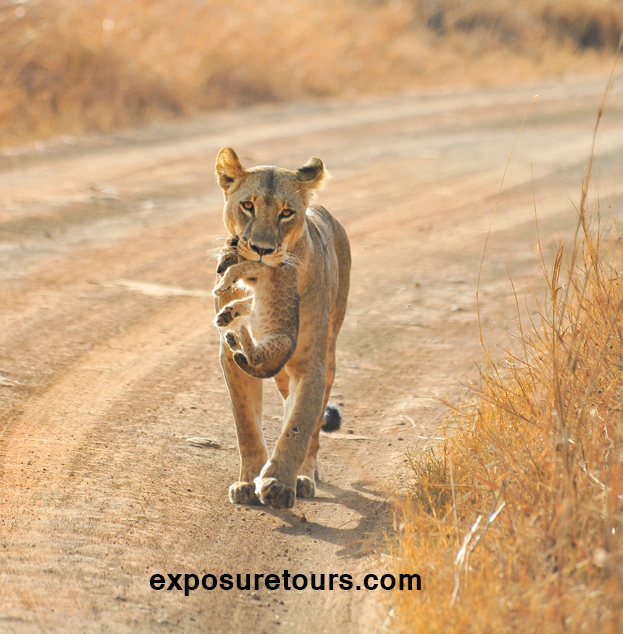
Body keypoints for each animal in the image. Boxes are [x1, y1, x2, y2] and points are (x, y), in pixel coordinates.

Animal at [213, 147, 351, 510]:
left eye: (286, 213)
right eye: (248, 205)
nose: (261, 250)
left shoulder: (311, 365)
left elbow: (300, 425)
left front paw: (278, 484)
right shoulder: (231, 361)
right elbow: (246, 424)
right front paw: (248, 481)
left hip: (328, 353)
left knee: (311, 426)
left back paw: (303, 477)